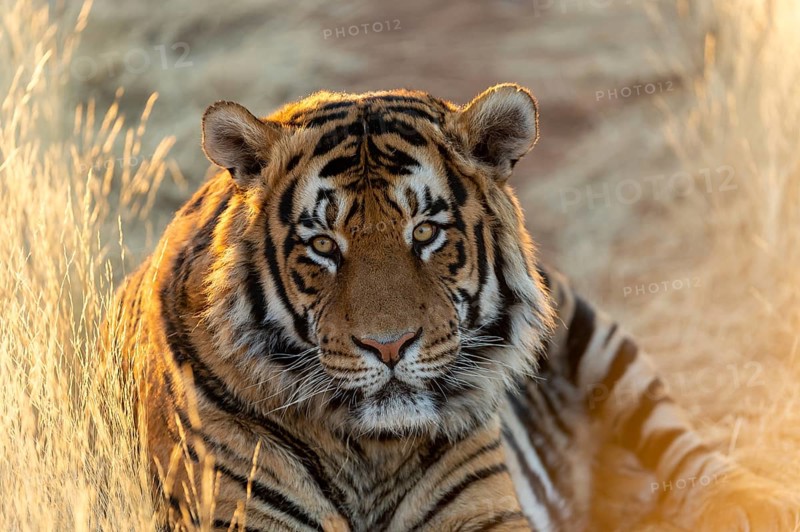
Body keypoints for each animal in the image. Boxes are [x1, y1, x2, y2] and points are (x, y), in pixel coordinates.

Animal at [106, 83, 797, 531]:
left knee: (681, 440)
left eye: (426, 232)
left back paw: (752, 505)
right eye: (324, 244)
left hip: (597, 341)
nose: (387, 346)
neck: (372, 454)